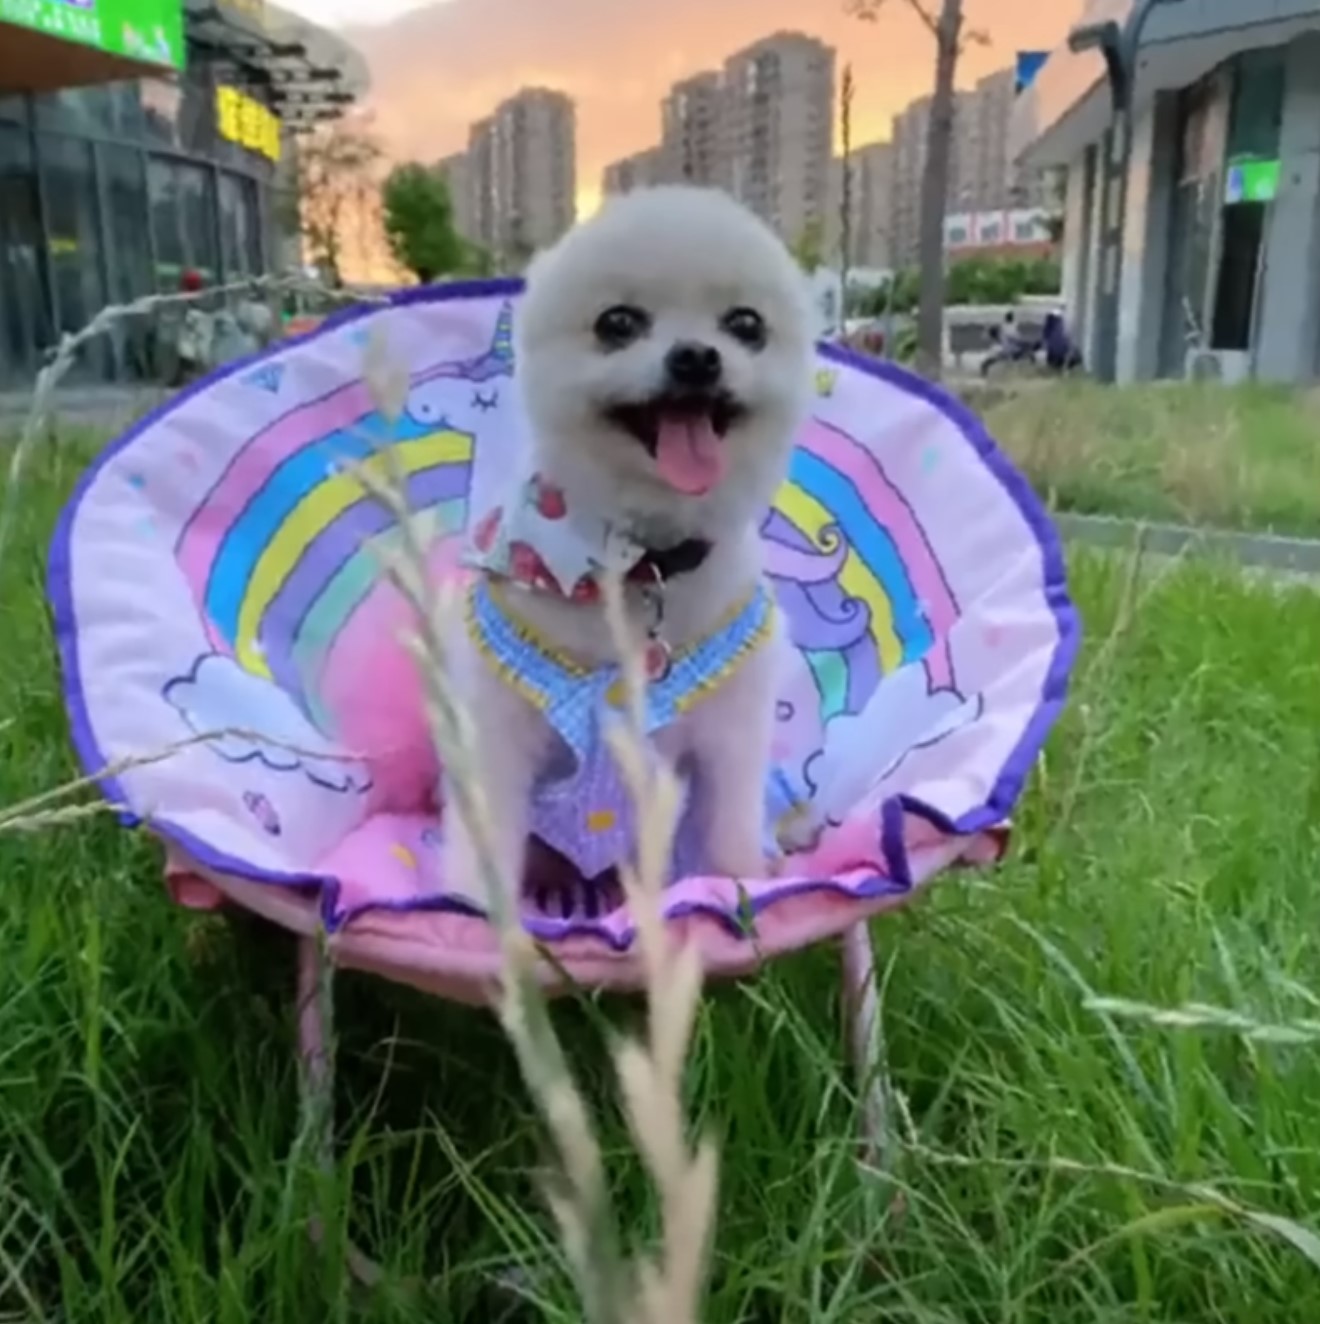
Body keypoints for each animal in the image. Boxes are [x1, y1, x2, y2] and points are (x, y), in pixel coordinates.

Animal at [442, 186, 815, 910]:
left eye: (747, 324)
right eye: (617, 322)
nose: (696, 356)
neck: (640, 562)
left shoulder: (730, 730)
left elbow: (728, 827)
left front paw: (737, 886)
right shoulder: (496, 729)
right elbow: (489, 835)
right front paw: (473, 910)